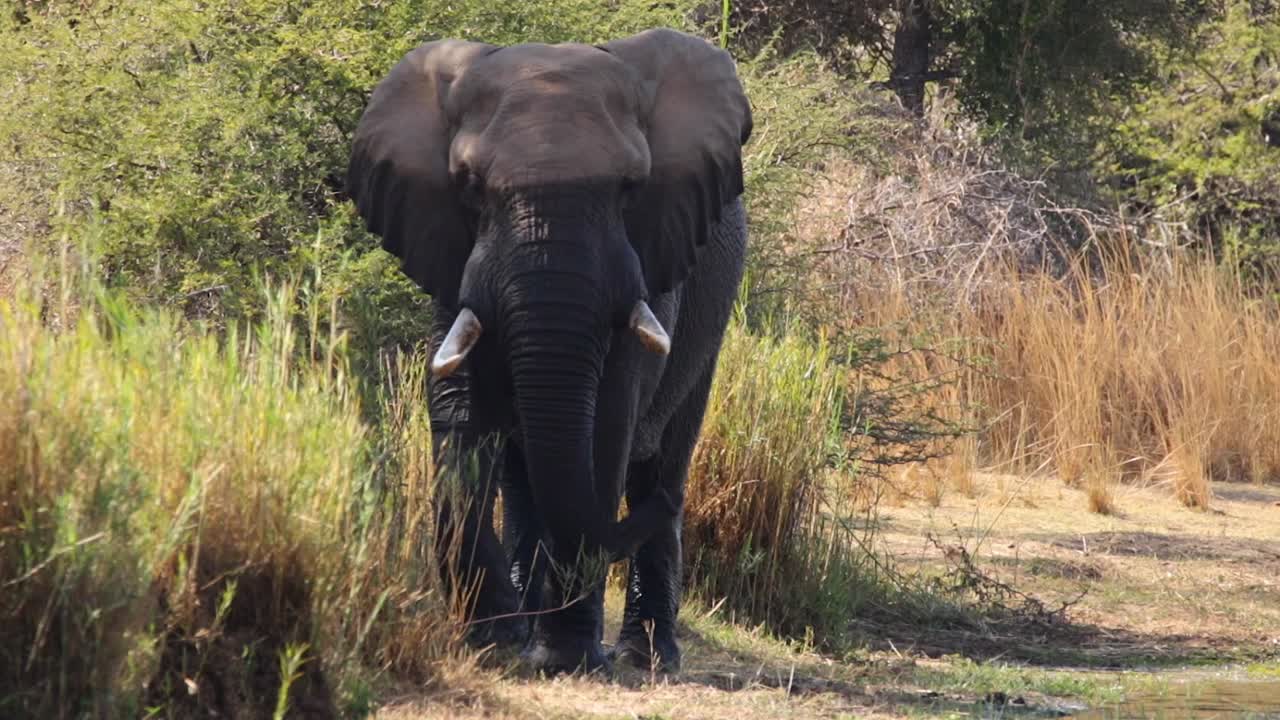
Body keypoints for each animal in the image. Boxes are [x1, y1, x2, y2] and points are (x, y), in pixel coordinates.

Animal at [346, 28, 752, 675]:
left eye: (630, 188)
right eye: (470, 186)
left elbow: (605, 426)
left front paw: (563, 659)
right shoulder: (452, 256)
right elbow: (460, 418)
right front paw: (494, 641)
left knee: (659, 461)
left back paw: (645, 657)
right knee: (526, 478)